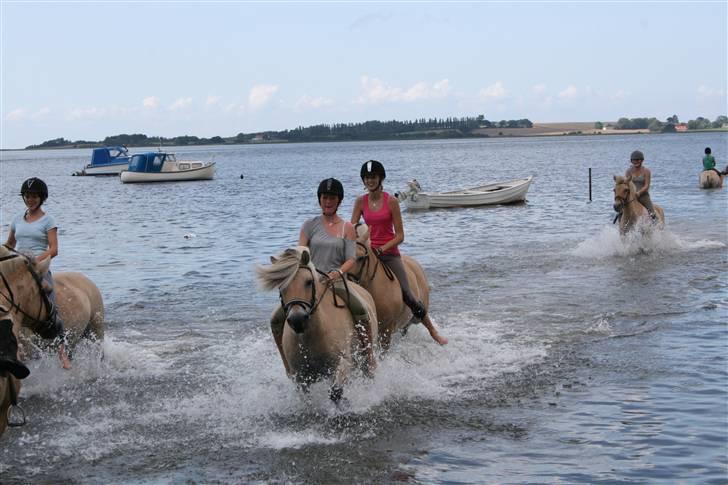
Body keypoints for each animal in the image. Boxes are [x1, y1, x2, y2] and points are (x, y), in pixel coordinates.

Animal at [256, 246, 378, 400]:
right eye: (280, 286)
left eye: (308, 282)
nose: (297, 320)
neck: (309, 338)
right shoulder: (300, 378)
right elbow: (306, 399)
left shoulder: (343, 363)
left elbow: (336, 392)